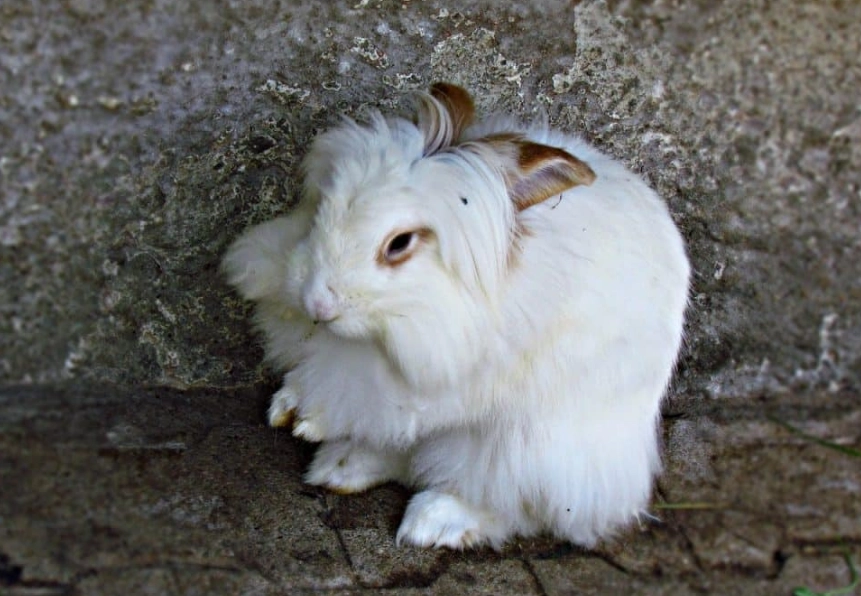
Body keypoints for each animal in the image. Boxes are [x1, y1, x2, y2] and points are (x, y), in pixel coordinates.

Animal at [222, 82, 690, 549]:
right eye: (322, 209)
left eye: (399, 243)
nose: (318, 303)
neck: (383, 330)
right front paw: (288, 407)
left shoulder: (439, 382)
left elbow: (364, 398)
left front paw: (310, 419)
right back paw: (340, 466)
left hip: (532, 450)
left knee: (515, 503)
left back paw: (433, 521)